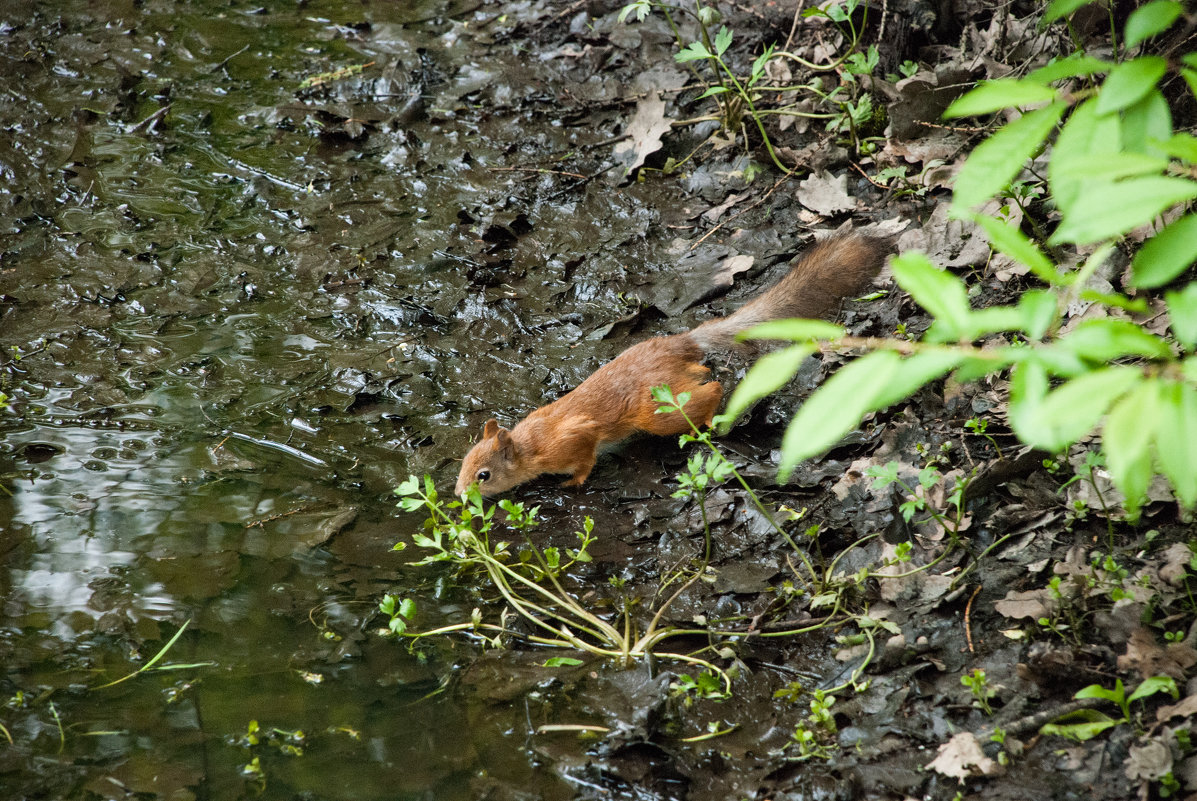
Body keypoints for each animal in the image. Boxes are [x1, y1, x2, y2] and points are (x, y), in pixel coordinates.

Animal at [454, 227, 890, 495]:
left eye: (483, 475)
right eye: (464, 462)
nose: (459, 495)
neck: (530, 444)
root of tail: (682, 344)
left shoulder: (573, 440)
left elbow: (584, 459)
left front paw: (573, 483)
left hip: (657, 412)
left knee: (710, 388)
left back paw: (713, 420)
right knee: (704, 374)